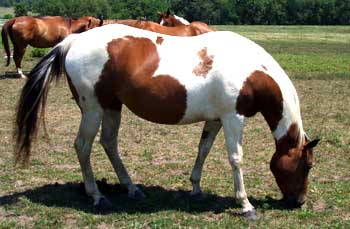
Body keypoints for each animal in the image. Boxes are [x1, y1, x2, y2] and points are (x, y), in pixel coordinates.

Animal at [14, 24, 320, 219]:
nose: (299, 202)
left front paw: (196, 188)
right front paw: (245, 205)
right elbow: (236, 158)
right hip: (93, 109)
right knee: (83, 146)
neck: (250, 69)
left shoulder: (216, 119)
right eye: (307, 166)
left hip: (112, 107)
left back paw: (132, 189)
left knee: (109, 143)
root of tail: (73, 41)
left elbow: (203, 150)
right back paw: (97, 196)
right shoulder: (233, 118)